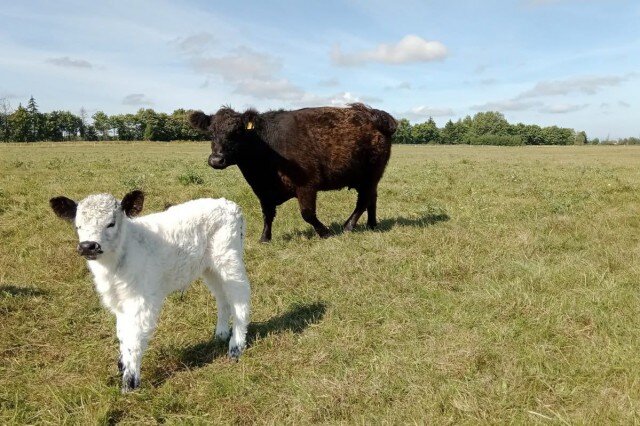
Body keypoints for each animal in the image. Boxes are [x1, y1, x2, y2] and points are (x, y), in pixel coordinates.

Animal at [50, 190, 250, 392]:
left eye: (111, 223)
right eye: (78, 225)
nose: (88, 246)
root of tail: (230, 205)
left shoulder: (141, 300)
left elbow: (134, 337)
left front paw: (130, 382)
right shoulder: (119, 301)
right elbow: (122, 332)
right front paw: (122, 365)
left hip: (229, 258)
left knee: (240, 296)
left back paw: (236, 346)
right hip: (209, 267)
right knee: (222, 297)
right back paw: (221, 334)